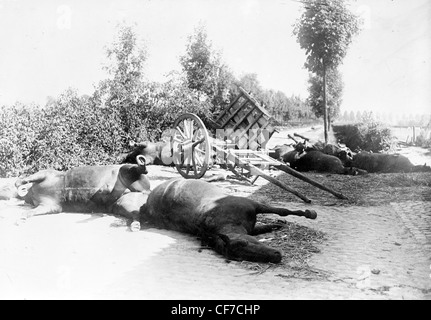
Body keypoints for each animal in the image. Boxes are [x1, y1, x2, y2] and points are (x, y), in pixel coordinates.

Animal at [142, 178, 318, 262]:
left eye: (244, 242)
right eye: (239, 256)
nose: (276, 256)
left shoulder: (254, 206)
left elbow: (282, 211)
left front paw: (307, 214)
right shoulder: (250, 225)